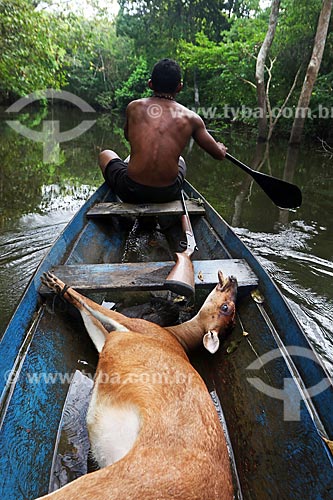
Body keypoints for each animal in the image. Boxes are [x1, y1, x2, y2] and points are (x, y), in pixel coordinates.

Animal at [37, 272, 236, 498]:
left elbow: (90, 304)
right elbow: (92, 320)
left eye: (226, 307)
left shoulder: (134, 325)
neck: (176, 336)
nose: (233, 280)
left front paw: (55, 282)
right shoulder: (108, 340)